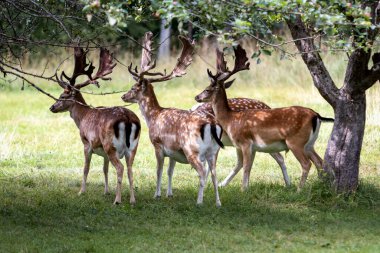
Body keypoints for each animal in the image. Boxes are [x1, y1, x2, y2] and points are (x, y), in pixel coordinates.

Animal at [49, 46, 140, 206]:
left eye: (62, 96)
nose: (52, 107)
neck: (83, 117)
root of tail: (128, 119)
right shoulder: (103, 152)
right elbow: (105, 169)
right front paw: (106, 191)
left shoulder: (86, 142)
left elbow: (86, 168)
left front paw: (81, 191)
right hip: (132, 147)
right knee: (130, 169)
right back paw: (132, 200)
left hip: (111, 145)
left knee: (120, 168)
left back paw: (117, 200)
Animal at [121, 31, 223, 207]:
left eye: (133, 88)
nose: (123, 96)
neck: (154, 117)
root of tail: (211, 124)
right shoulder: (173, 151)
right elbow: (170, 171)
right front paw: (169, 194)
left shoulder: (157, 144)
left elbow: (159, 170)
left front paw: (157, 194)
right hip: (214, 152)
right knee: (215, 173)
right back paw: (218, 203)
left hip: (192, 149)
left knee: (202, 173)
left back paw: (199, 202)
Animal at [194, 44, 334, 191]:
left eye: (208, 89)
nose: (197, 97)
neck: (230, 119)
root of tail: (316, 115)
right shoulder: (251, 147)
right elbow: (248, 167)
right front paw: (246, 188)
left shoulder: (245, 142)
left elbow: (245, 167)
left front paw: (243, 189)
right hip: (310, 143)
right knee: (319, 162)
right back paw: (320, 185)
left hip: (295, 141)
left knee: (307, 164)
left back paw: (299, 190)